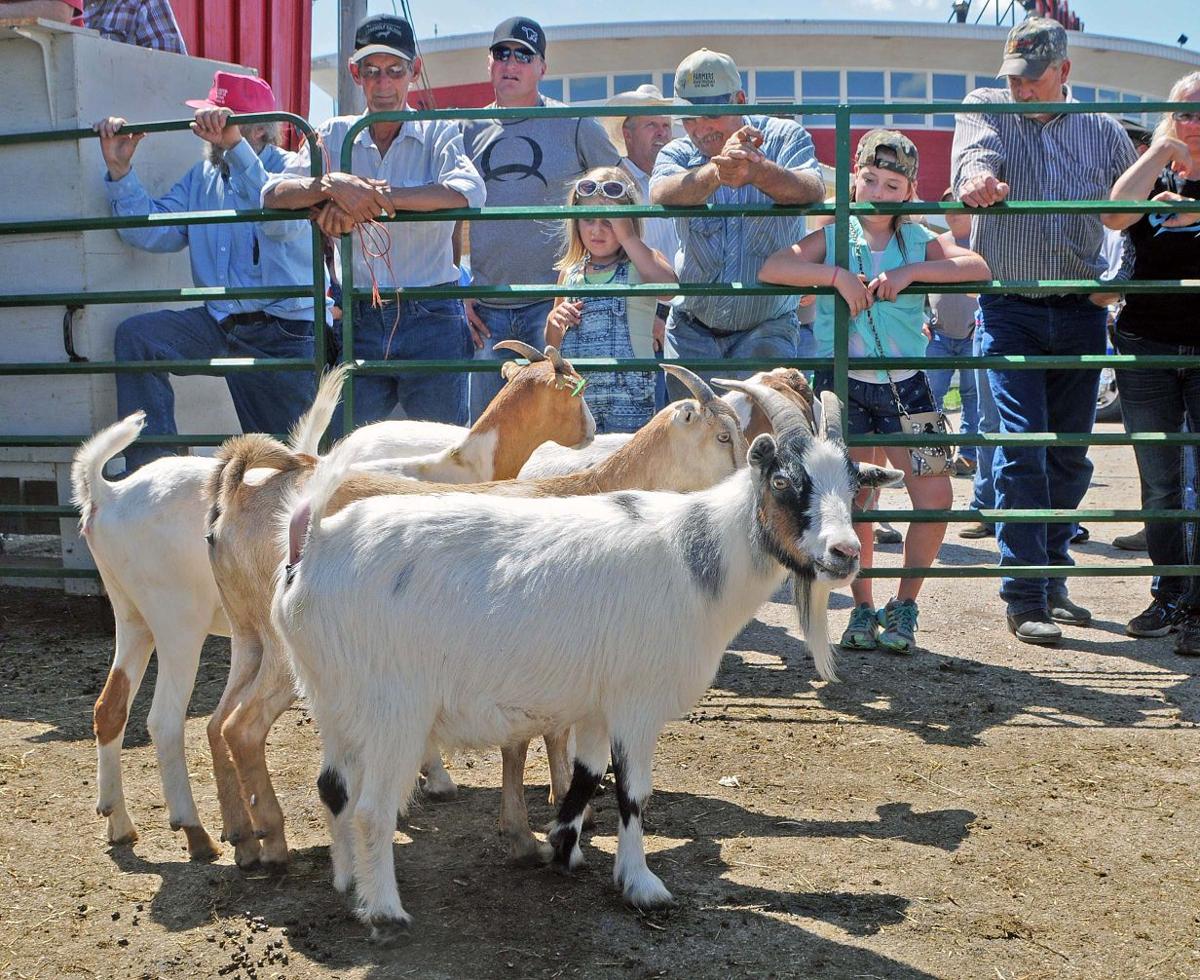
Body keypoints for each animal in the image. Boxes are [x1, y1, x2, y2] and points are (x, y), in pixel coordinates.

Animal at [271, 385, 903, 938]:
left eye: (854, 485)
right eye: (782, 480)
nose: (845, 553)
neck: (697, 559)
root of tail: (315, 546)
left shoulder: (597, 703)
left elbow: (587, 775)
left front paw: (564, 847)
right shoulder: (636, 702)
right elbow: (633, 792)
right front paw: (641, 884)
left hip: (333, 699)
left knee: (332, 787)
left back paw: (347, 883)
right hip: (394, 711)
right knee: (372, 809)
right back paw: (384, 911)